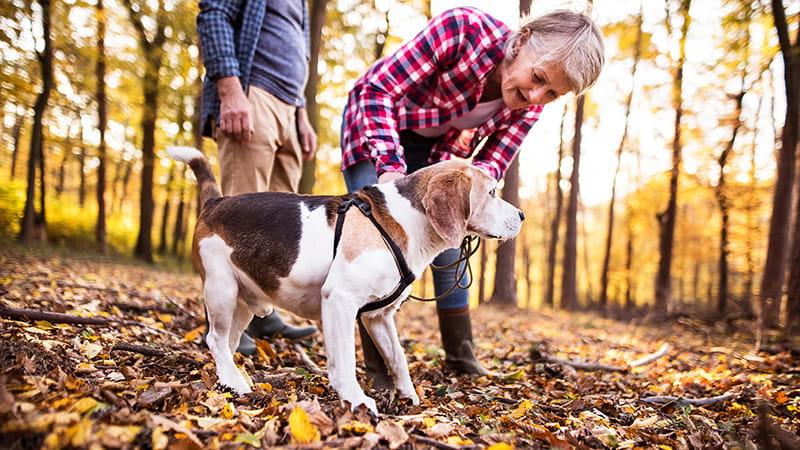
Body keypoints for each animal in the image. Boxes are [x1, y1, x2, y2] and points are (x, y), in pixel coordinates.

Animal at [169, 146, 524, 414]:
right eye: (492, 192)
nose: (521, 216)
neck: (404, 220)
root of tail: (215, 201)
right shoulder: (339, 301)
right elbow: (345, 362)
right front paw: (355, 399)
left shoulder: (379, 317)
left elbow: (398, 360)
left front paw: (409, 398)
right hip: (222, 291)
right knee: (214, 339)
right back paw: (236, 382)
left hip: (243, 302)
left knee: (225, 344)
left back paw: (229, 378)